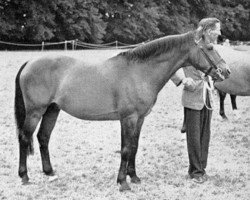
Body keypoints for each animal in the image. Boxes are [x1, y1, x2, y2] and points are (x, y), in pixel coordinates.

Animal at [14, 30, 230, 191]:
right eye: (210, 47)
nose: (226, 71)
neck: (139, 72)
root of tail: (29, 63)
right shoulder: (129, 118)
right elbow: (125, 149)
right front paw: (122, 183)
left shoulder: (140, 119)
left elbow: (134, 146)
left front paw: (133, 177)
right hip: (35, 112)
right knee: (25, 138)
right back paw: (24, 177)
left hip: (52, 110)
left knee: (43, 137)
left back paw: (49, 172)